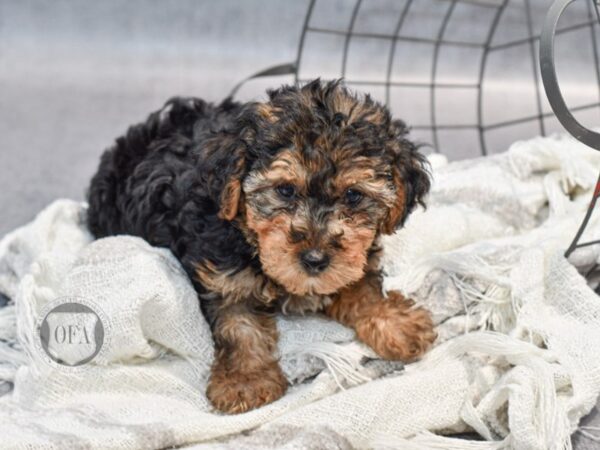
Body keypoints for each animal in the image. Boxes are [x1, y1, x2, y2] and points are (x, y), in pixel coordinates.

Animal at [86, 79, 436, 414]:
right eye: (285, 190)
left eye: (353, 195)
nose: (314, 259)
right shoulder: (224, 275)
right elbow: (239, 325)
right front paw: (245, 382)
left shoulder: (353, 259)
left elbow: (362, 286)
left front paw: (396, 322)